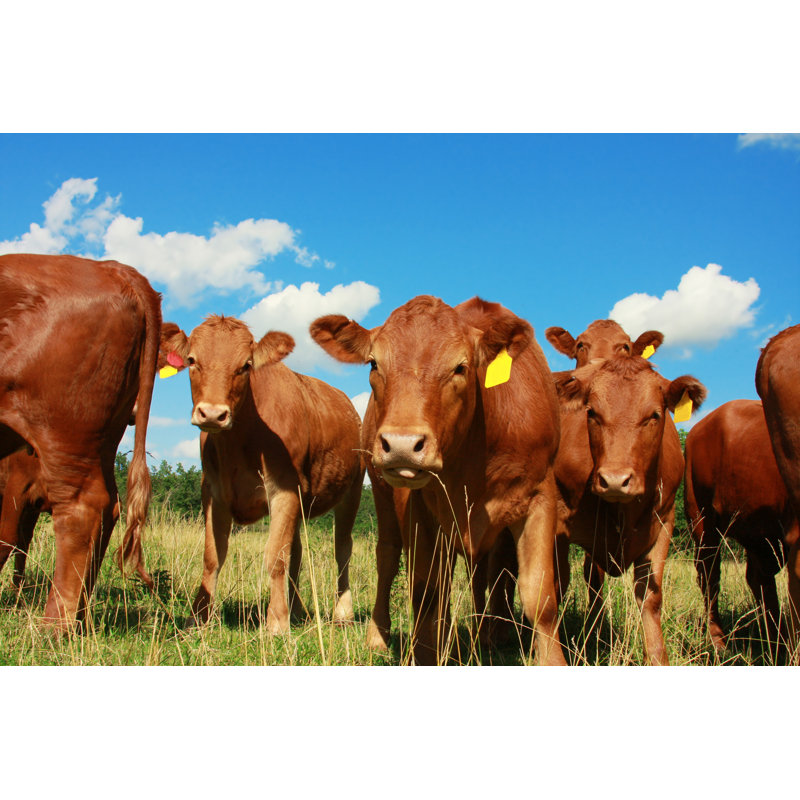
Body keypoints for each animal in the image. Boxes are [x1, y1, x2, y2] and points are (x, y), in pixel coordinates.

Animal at [0, 253, 160, 630]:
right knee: (108, 510)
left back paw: (56, 627)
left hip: (64, 431)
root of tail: (114, 268)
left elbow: (7, 537)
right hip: (99, 440)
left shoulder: (13, 486)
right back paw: (79, 617)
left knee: (83, 508)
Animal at [160, 315, 364, 633]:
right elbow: (212, 556)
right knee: (297, 552)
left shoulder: (284, 489)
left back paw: (342, 613)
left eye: (245, 365)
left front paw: (276, 623)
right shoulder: (213, 491)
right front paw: (199, 617)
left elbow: (275, 557)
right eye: (192, 360)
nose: (212, 414)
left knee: (342, 548)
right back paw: (296, 611)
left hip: (352, 490)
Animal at [310, 295, 565, 665]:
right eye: (373, 363)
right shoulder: (416, 505)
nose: (401, 445)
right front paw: (425, 652)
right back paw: (380, 635)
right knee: (389, 558)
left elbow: (540, 596)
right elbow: (426, 590)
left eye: (460, 367)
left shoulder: (540, 496)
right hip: (384, 494)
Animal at [553, 355, 706, 664]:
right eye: (592, 413)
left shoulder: (663, 525)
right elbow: (556, 585)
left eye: (654, 415)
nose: (614, 480)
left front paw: (658, 658)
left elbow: (650, 596)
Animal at [684, 399, 796, 652]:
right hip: (702, 521)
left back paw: (776, 640)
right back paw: (719, 643)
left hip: (758, 533)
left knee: (759, 579)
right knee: (710, 577)